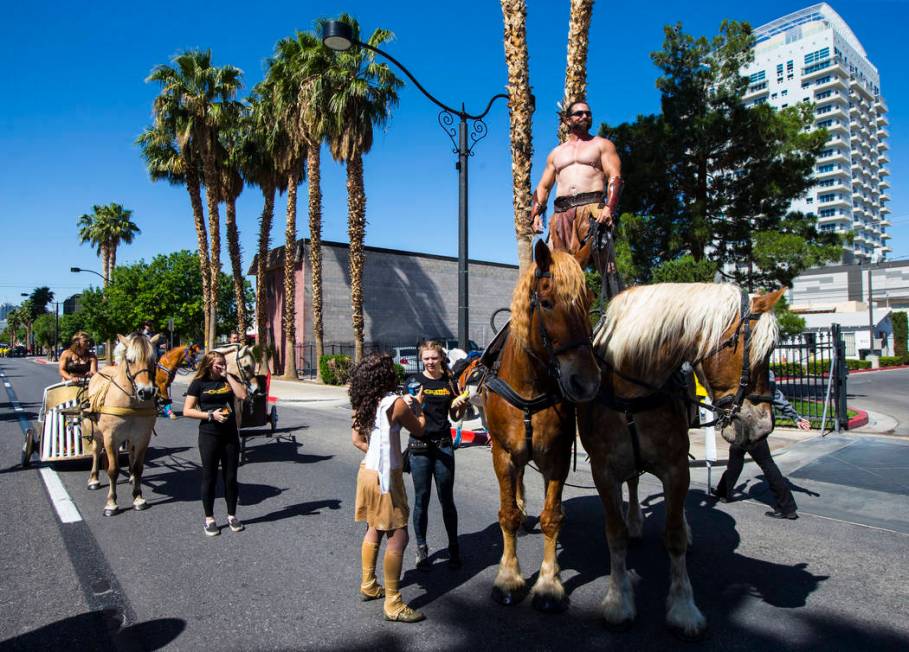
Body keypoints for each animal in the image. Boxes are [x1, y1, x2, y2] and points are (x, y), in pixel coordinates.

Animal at [86, 334, 159, 516]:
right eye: (131, 360)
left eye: (153, 360)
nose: (146, 392)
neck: (130, 402)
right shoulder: (111, 438)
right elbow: (113, 470)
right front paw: (111, 503)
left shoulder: (142, 437)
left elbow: (138, 467)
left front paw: (138, 497)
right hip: (97, 433)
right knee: (96, 451)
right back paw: (94, 479)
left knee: (131, 454)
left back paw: (131, 477)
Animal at [478, 239, 600, 612]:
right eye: (546, 302)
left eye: (589, 302)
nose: (587, 382)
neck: (530, 383)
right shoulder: (503, 454)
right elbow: (507, 515)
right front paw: (508, 577)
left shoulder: (557, 455)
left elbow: (551, 517)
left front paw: (548, 583)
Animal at [580, 282, 784, 636]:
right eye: (763, 352)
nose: (763, 426)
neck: (631, 391)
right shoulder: (603, 471)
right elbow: (614, 534)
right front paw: (618, 601)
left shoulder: (676, 469)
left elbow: (673, 534)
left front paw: (683, 608)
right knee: (632, 482)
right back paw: (634, 521)